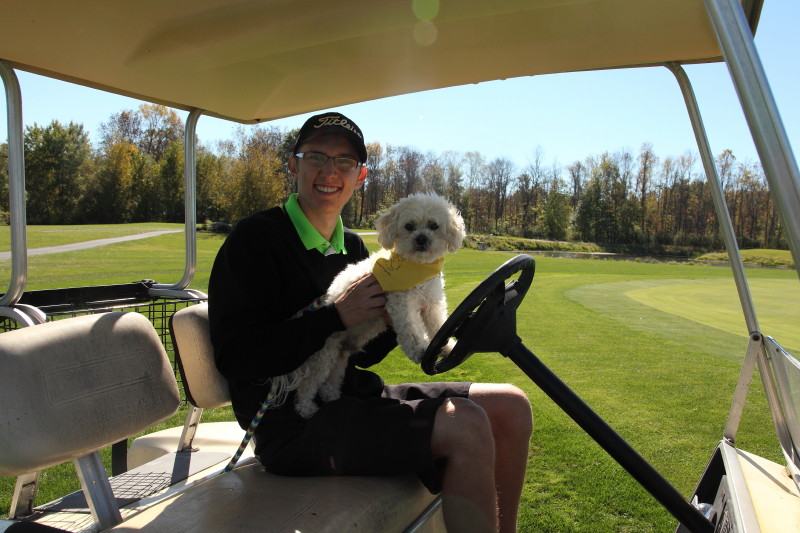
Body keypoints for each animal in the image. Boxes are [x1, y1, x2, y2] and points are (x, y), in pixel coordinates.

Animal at [272, 193, 466, 418]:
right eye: (409, 226)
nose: (421, 239)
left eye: (434, 225)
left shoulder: (432, 303)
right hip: (323, 355)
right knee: (308, 384)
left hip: (339, 355)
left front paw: (447, 346)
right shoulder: (400, 304)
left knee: (331, 380)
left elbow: (437, 325)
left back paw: (332, 396)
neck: (415, 267)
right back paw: (306, 409)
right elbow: (410, 330)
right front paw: (419, 349)